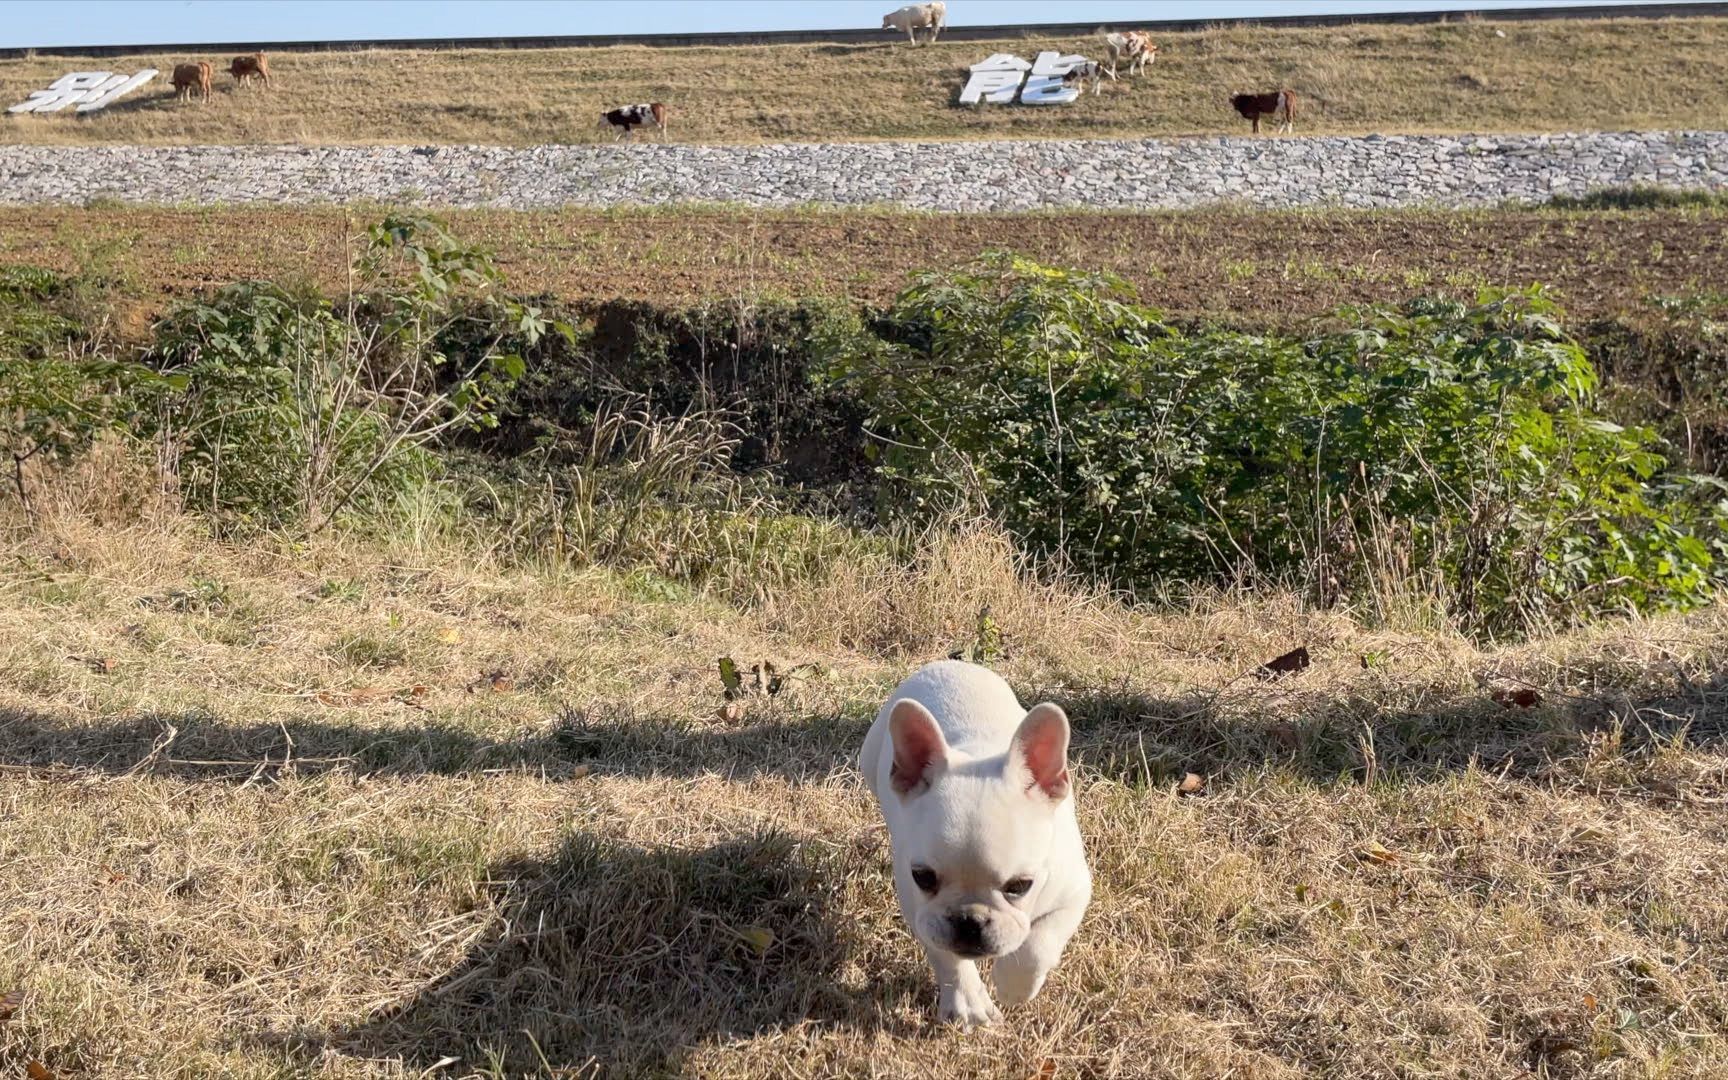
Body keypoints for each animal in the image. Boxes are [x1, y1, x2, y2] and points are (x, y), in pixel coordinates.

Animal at [857, 656, 1085, 1029]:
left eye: (1020, 885)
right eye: (923, 877)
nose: (969, 920)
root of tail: (948, 664)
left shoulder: (1072, 894)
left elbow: (1037, 947)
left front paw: (1012, 987)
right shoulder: (922, 911)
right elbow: (946, 956)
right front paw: (968, 1002)